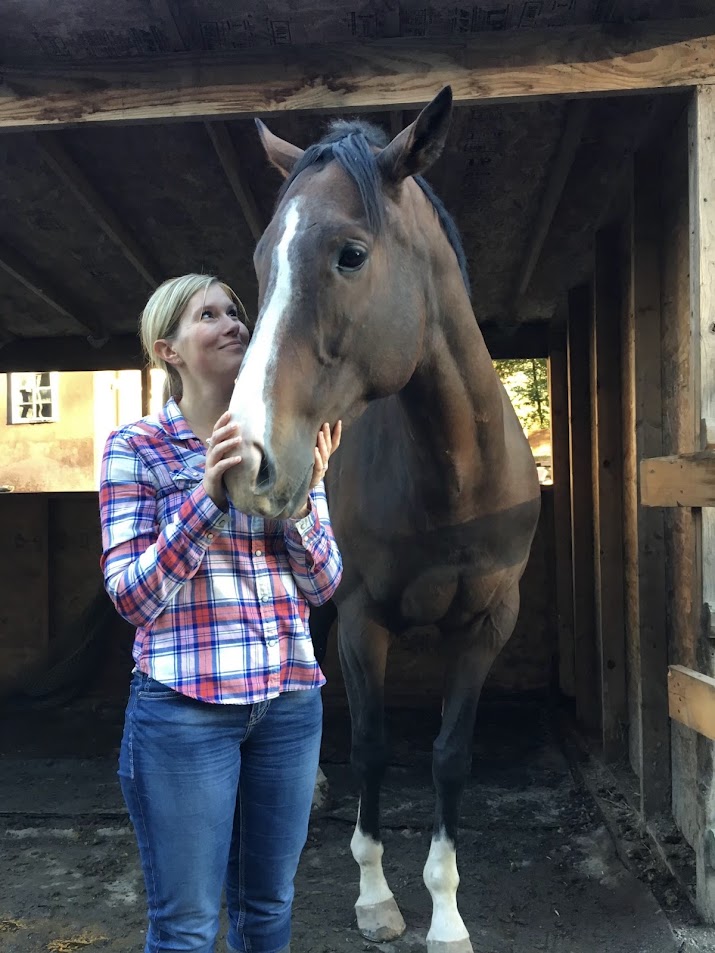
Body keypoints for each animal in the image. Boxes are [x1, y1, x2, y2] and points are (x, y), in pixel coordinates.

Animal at [224, 86, 541, 953]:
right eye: (262, 261)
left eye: (350, 254)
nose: (247, 458)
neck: (453, 477)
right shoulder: (367, 616)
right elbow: (371, 744)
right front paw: (375, 897)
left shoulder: (490, 624)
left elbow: (448, 754)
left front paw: (448, 913)